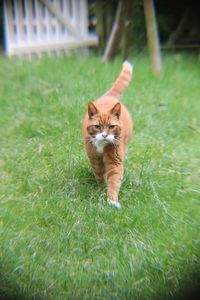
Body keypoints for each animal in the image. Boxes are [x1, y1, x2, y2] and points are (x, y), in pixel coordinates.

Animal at [82, 62, 134, 207]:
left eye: (111, 127)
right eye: (97, 127)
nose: (105, 135)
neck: (101, 146)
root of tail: (110, 96)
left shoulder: (115, 160)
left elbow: (114, 180)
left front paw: (112, 200)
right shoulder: (94, 158)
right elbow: (99, 173)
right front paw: (100, 188)